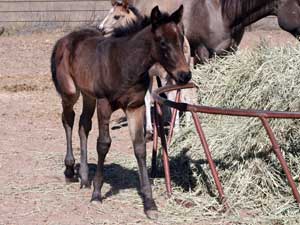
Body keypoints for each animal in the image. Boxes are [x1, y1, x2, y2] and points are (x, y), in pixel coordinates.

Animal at [50, 4, 191, 218]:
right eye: (162, 42)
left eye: (181, 39)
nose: (185, 75)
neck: (125, 64)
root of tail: (63, 39)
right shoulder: (104, 104)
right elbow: (103, 144)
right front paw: (97, 194)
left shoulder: (134, 107)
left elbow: (139, 147)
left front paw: (150, 204)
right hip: (71, 92)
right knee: (68, 119)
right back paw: (69, 170)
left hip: (89, 95)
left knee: (83, 125)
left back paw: (84, 177)